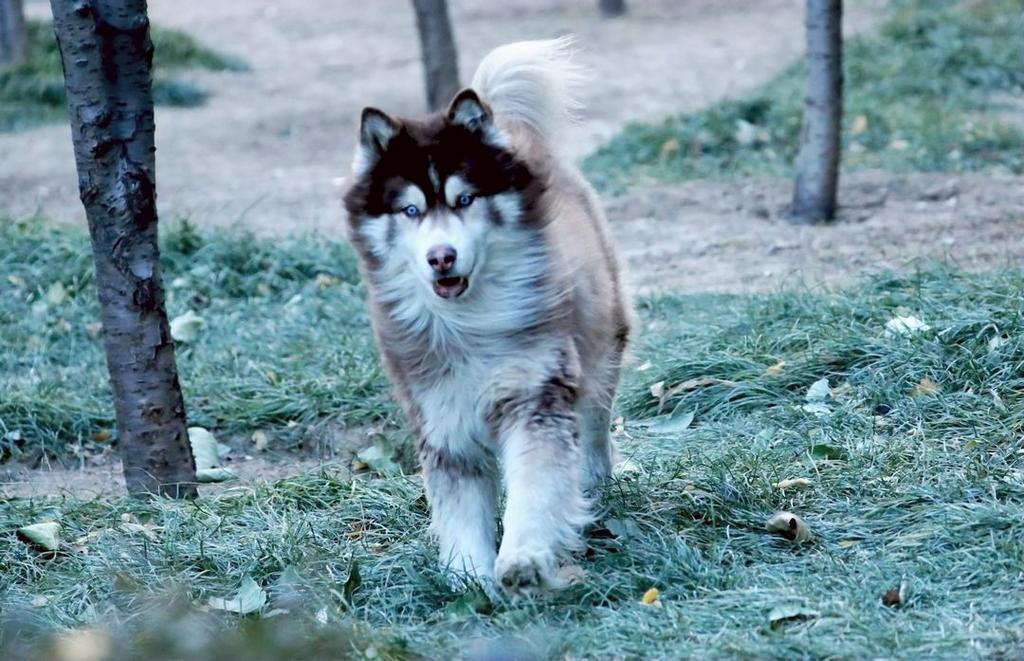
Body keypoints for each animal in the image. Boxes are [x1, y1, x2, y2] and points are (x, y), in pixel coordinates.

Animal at [344, 37, 626, 597]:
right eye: (410, 211)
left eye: (466, 199)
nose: (441, 257)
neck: (468, 326)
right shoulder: (441, 416)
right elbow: (459, 508)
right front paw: (467, 577)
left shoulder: (536, 397)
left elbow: (535, 489)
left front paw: (523, 559)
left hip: (603, 339)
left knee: (595, 419)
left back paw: (595, 477)